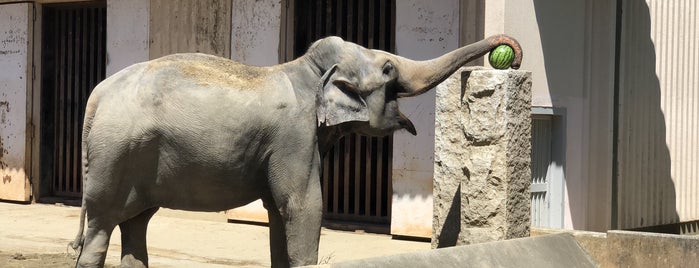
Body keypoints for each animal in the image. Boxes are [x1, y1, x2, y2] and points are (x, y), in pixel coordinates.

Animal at [69, 34, 520, 266]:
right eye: (389, 69)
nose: (511, 54)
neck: (307, 70)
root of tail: (95, 96)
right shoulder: (294, 137)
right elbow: (303, 206)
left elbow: (277, 211)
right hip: (114, 156)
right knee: (101, 229)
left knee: (136, 224)